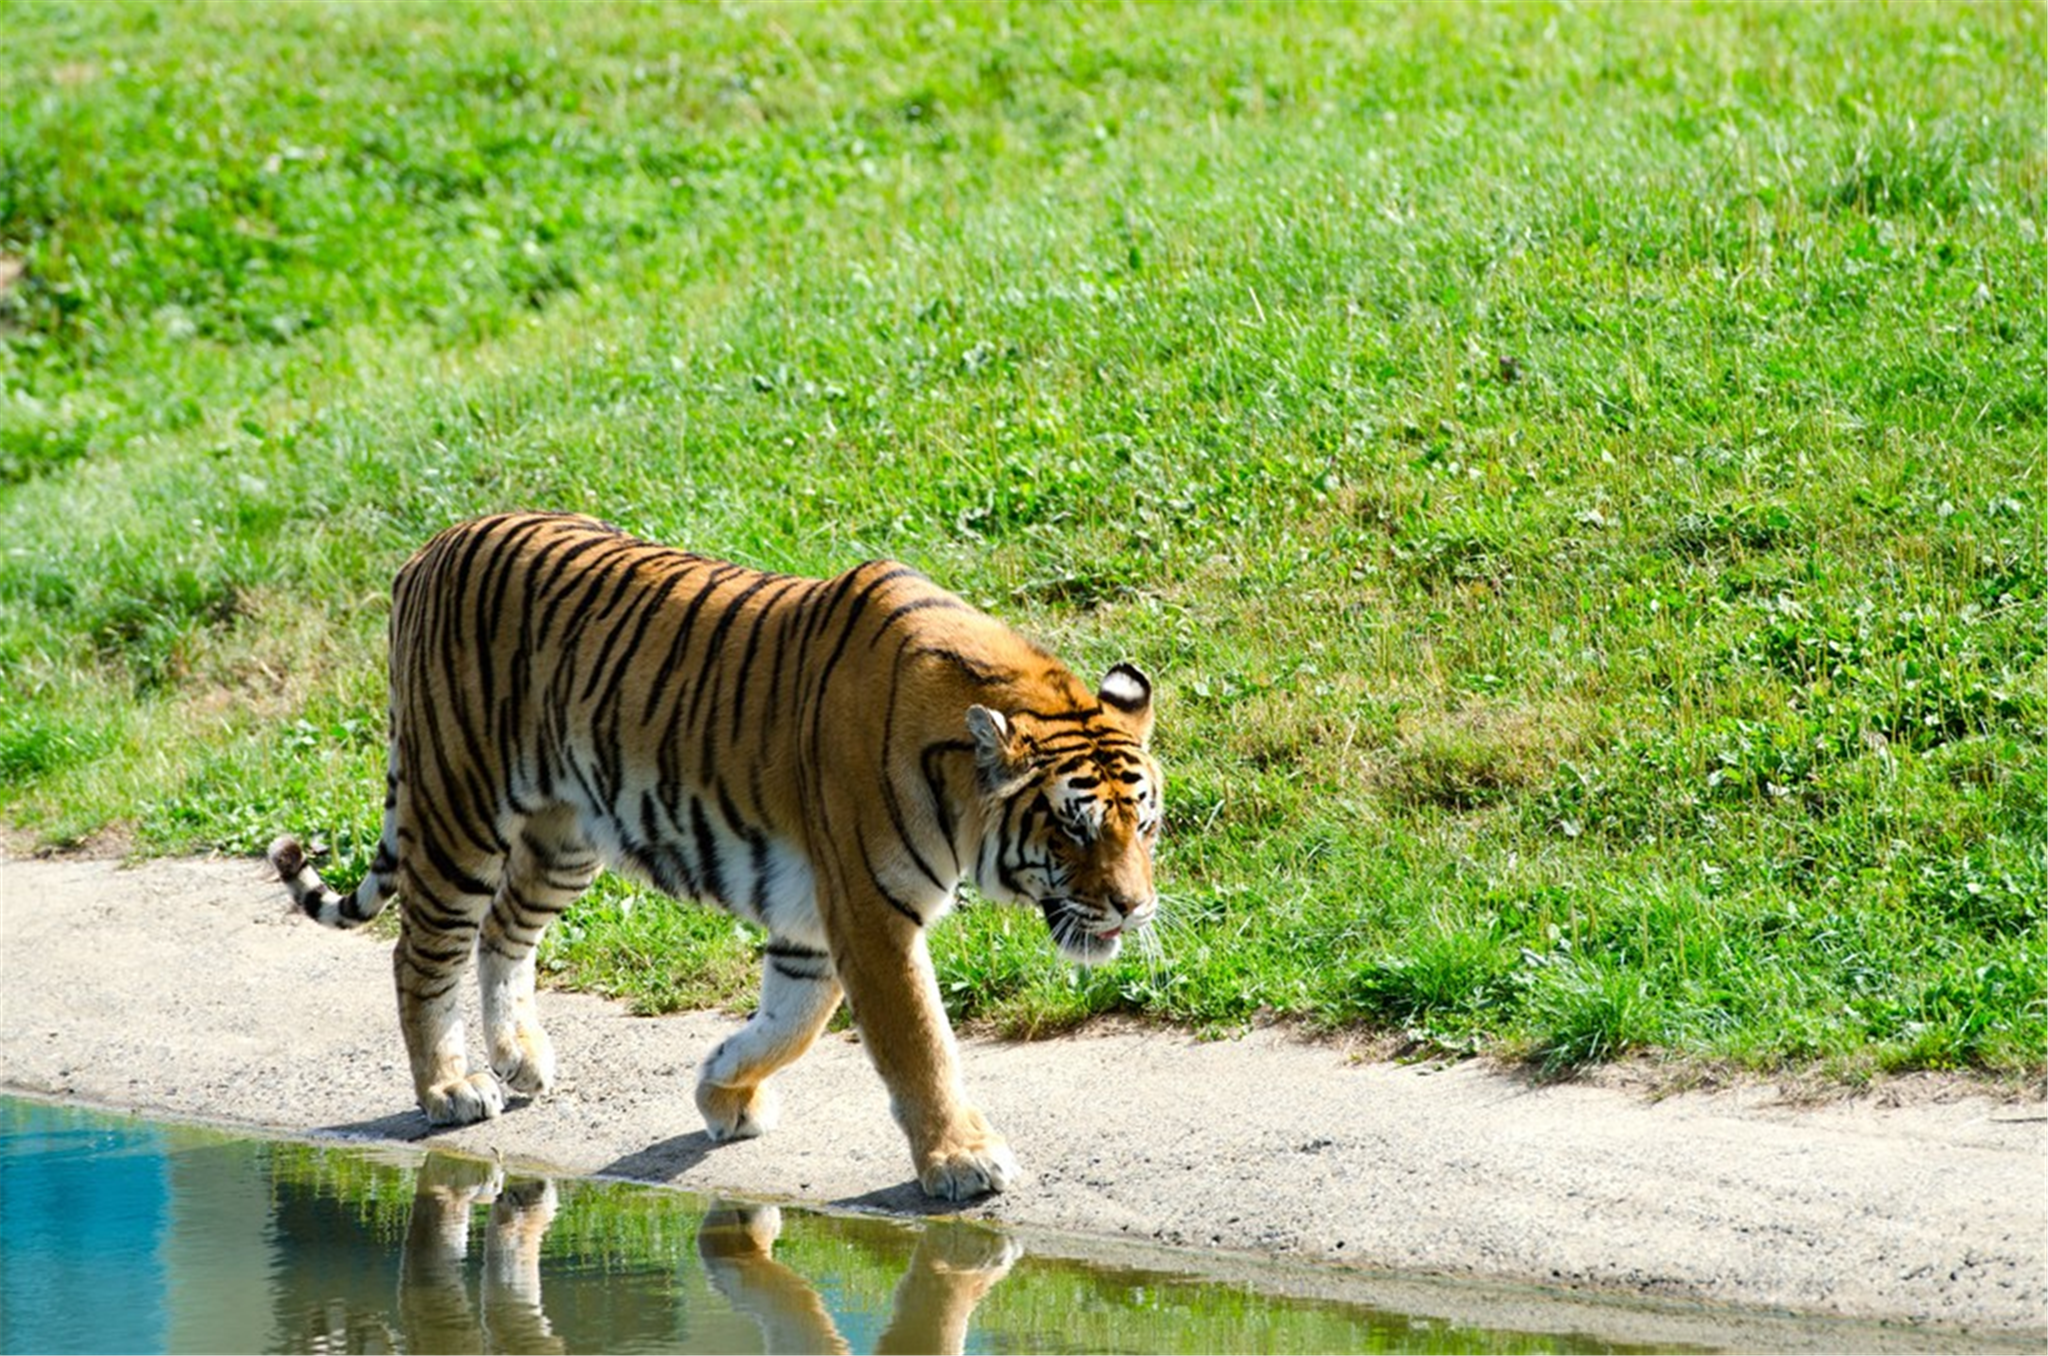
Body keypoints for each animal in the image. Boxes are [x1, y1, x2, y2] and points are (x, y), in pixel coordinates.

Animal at [270, 510, 1163, 1204]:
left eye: (1144, 825)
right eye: (1073, 828)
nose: (1134, 906)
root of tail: (429, 548)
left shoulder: (816, 922)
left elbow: (789, 1023)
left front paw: (721, 1091)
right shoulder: (870, 914)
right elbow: (921, 1044)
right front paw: (964, 1161)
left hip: (564, 837)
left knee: (503, 935)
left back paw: (520, 1057)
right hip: (460, 810)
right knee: (421, 954)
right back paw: (452, 1088)